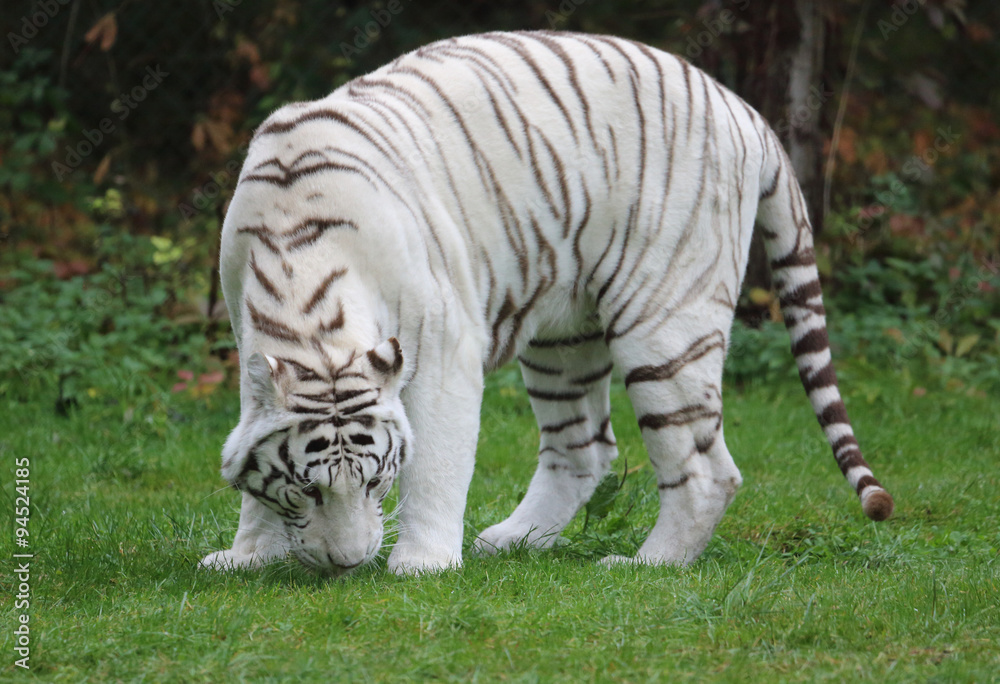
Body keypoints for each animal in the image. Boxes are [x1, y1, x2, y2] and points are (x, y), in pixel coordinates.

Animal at [199, 30, 894, 576]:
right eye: (307, 492)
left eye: (375, 480)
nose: (345, 564)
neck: (305, 290)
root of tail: (743, 110)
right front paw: (248, 555)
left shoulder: (444, 342)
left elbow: (439, 462)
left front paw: (422, 563)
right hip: (563, 335)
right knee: (584, 450)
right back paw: (510, 540)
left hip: (665, 325)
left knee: (705, 470)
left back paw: (645, 565)